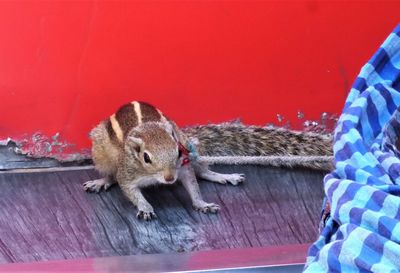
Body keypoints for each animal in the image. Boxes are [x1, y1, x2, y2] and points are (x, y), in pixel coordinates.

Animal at [83, 100, 332, 219]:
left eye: (177, 152)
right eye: (146, 157)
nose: (170, 179)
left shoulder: (183, 165)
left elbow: (192, 183)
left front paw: (202, 204)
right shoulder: (128, 171)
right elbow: (129, 189)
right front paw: (145, 207)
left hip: (192, 144)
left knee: (201, 170)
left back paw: (223, 176)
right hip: (101, 152)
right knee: (110, 174)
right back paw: (101, 181)